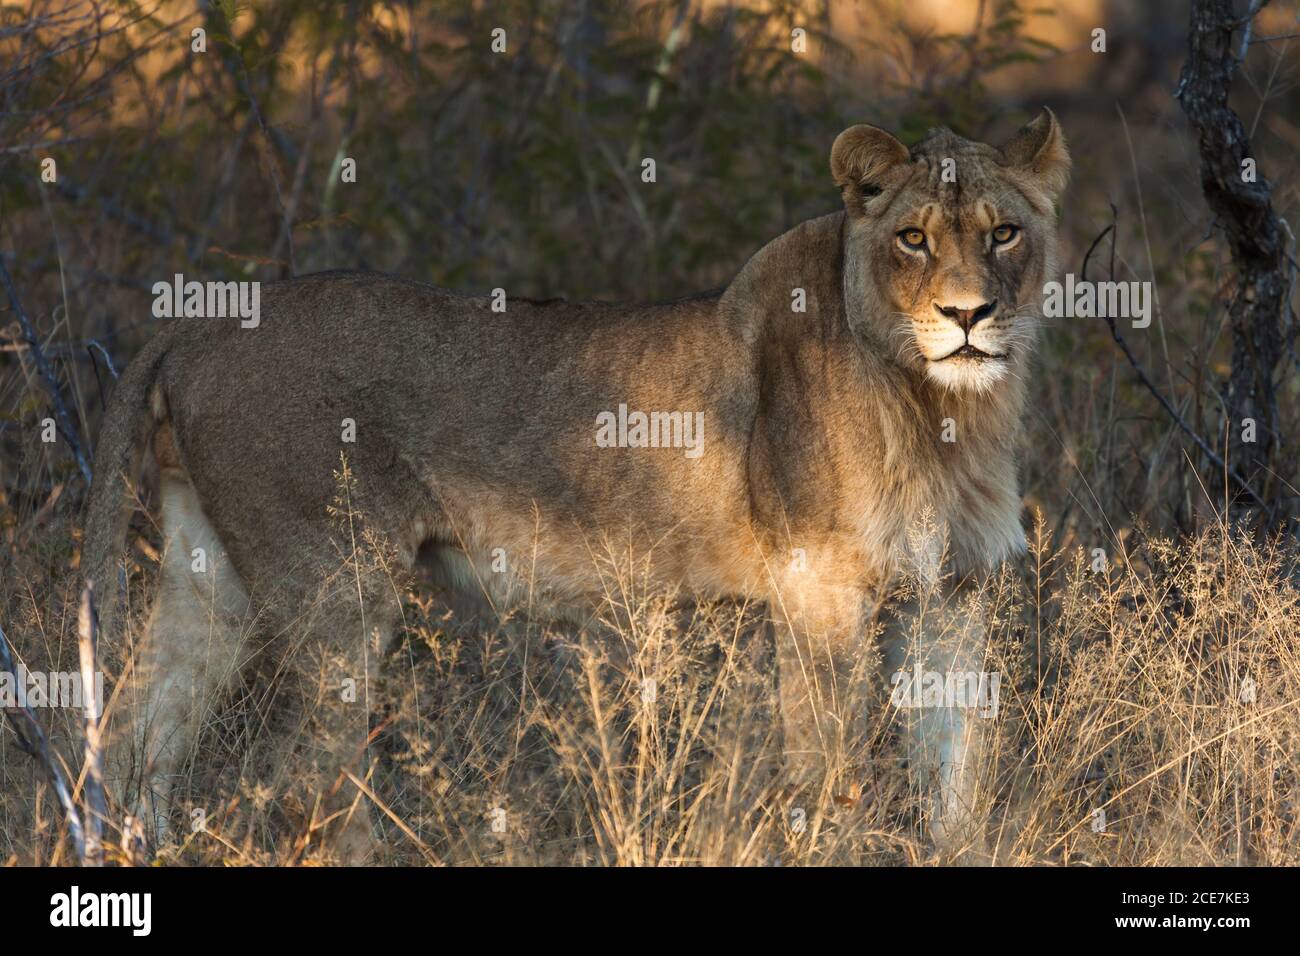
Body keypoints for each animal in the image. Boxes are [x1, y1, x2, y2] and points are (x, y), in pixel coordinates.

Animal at [83, 109, 1068, 862]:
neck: (947, 412)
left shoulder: (951, 595)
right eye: (913, 238)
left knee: (135, 737)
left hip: (211, 579)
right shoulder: (819, 591)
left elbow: (957, 779)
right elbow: (831, 774)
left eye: (1003, 232)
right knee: (306, 780)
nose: (969, 315)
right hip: (338, 590)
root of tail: (201, 322)